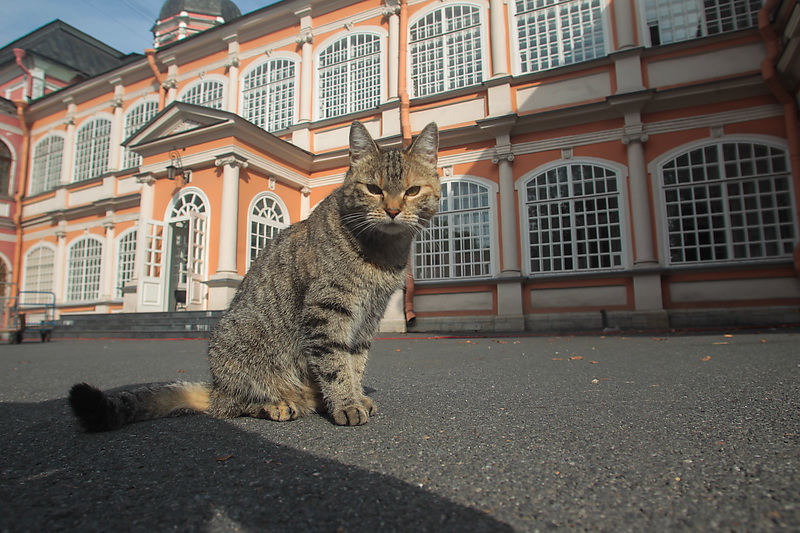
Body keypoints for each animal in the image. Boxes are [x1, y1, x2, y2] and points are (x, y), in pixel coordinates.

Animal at [69, 119, 440, 428]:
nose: (392, 210)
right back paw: (277, 404)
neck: (384, 252)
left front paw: (356, 394)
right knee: (230, 406)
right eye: (374, 189)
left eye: (412, 191)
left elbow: (355, 363)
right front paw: (347, 403)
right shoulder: (326, 310)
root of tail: (215, 384)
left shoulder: (369, 316)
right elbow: (335, 364)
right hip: (240, 348)